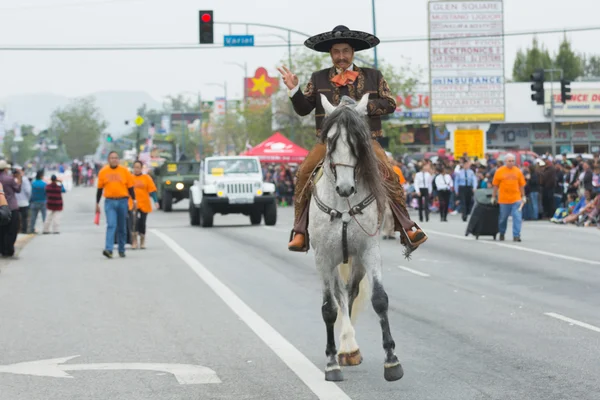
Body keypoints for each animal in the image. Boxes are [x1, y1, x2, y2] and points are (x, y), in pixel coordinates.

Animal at [310, 93, 404, 382]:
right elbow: (329, 308)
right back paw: (345, 346)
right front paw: (331, 364)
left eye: (357, 141)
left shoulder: (369, 251)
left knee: (349, 292)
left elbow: (380, 299)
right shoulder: (324, 257)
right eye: (330, 140)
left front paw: (392, 360)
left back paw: (349, 349)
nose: (345, 187)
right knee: (339, 295)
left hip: (357, 261)